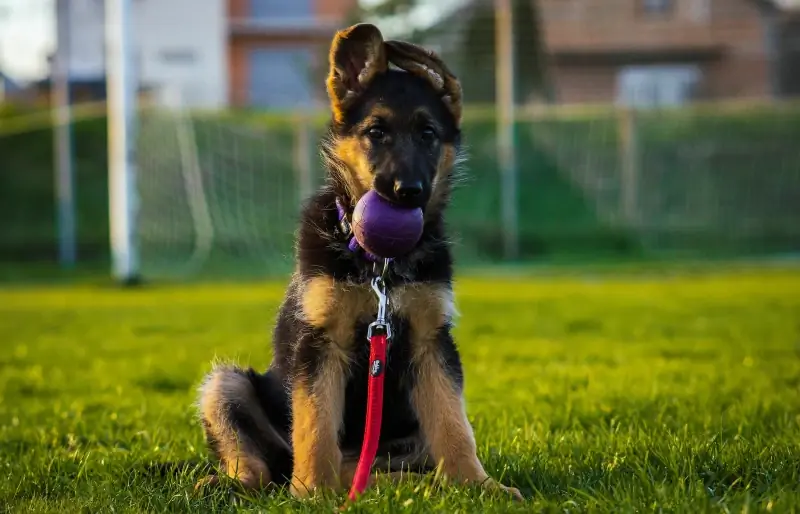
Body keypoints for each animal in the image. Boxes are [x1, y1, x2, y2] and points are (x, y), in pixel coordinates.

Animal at [196, 24, 520, 500]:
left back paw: (402, 483)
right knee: (261, 466)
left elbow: (454, 424)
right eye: (376, 132)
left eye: (428, 134)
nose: (408, 192)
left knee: (400, 466)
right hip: (227, 386)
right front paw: (311, 492)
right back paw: (236, 482)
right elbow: (315, 424)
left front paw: (478, 485)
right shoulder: (321, 342)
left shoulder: (432, 340)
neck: (378, 264)